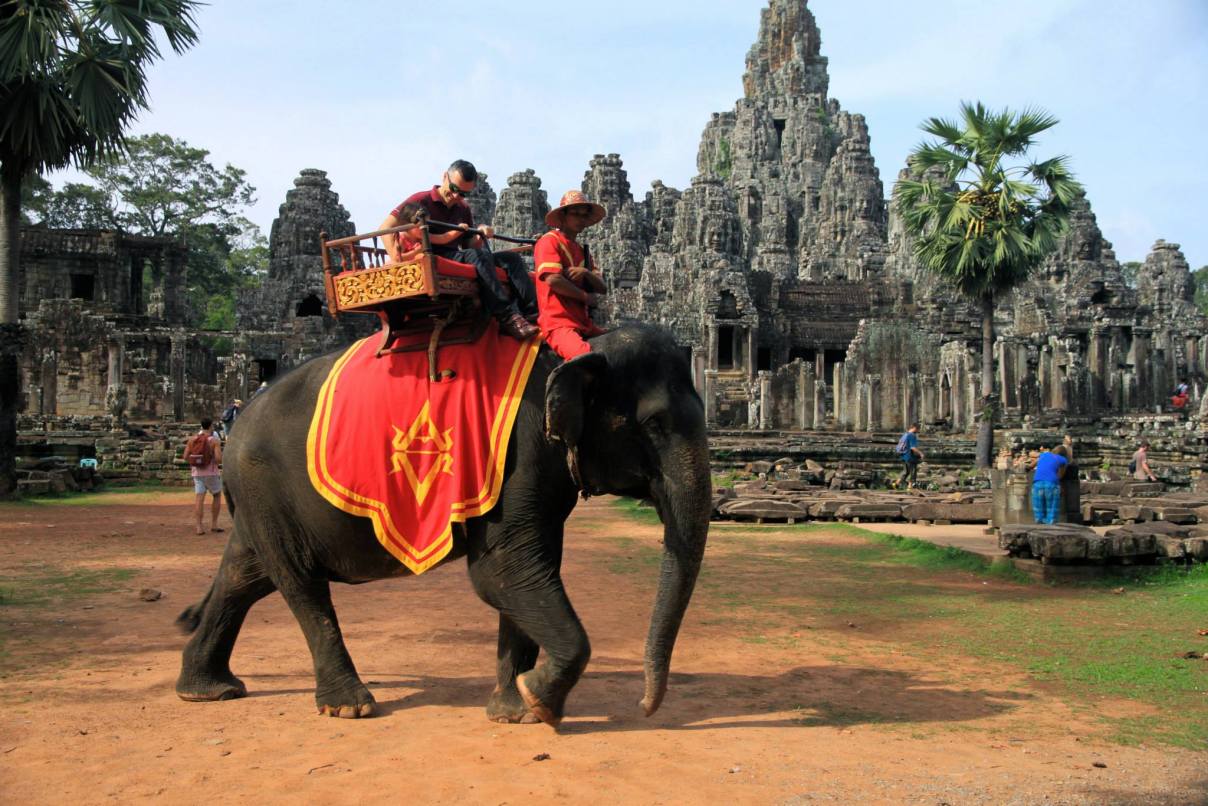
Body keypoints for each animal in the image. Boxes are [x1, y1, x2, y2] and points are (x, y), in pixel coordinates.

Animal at [175, 323, 710, 729]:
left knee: (245, 575)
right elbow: (501, 573)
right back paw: (350, 706)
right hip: (264, 484)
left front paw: (514, 711)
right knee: (299, 582)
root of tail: (237, 418)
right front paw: (538, 700)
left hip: (259, 498)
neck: (582, 345)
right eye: (656, 425)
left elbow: (529, 573)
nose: (645, 707)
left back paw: (207, 691)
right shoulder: (519, 457)